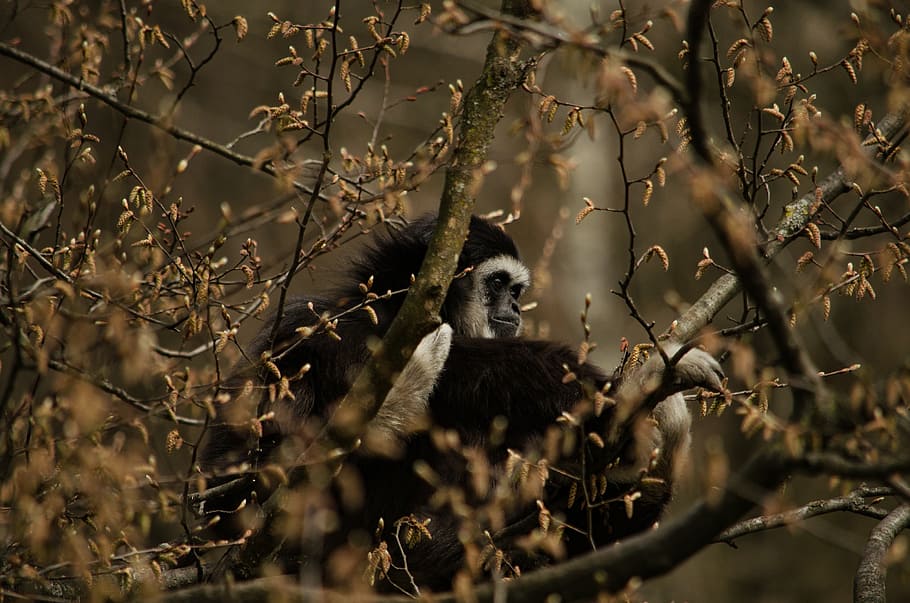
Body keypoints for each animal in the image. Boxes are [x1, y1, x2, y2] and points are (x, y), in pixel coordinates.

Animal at [198, 214, 724, 592]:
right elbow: (234, 493)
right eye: (497, 284)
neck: (394, 314)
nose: (514, 308)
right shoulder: (317, 328)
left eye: (516, 290)